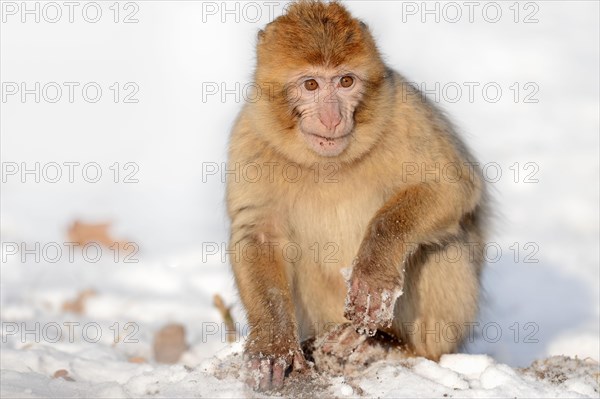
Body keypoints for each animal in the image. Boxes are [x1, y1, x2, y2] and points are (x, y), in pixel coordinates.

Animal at [225, 0, 488, 394]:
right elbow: (258, 234)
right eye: (311, 84)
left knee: (443, 247)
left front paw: (374, 270)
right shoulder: (250, 137)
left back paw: (382, 343)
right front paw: (272, 345)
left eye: (346, 81)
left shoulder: (405, 110)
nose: (333, 119)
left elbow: (449, 187)